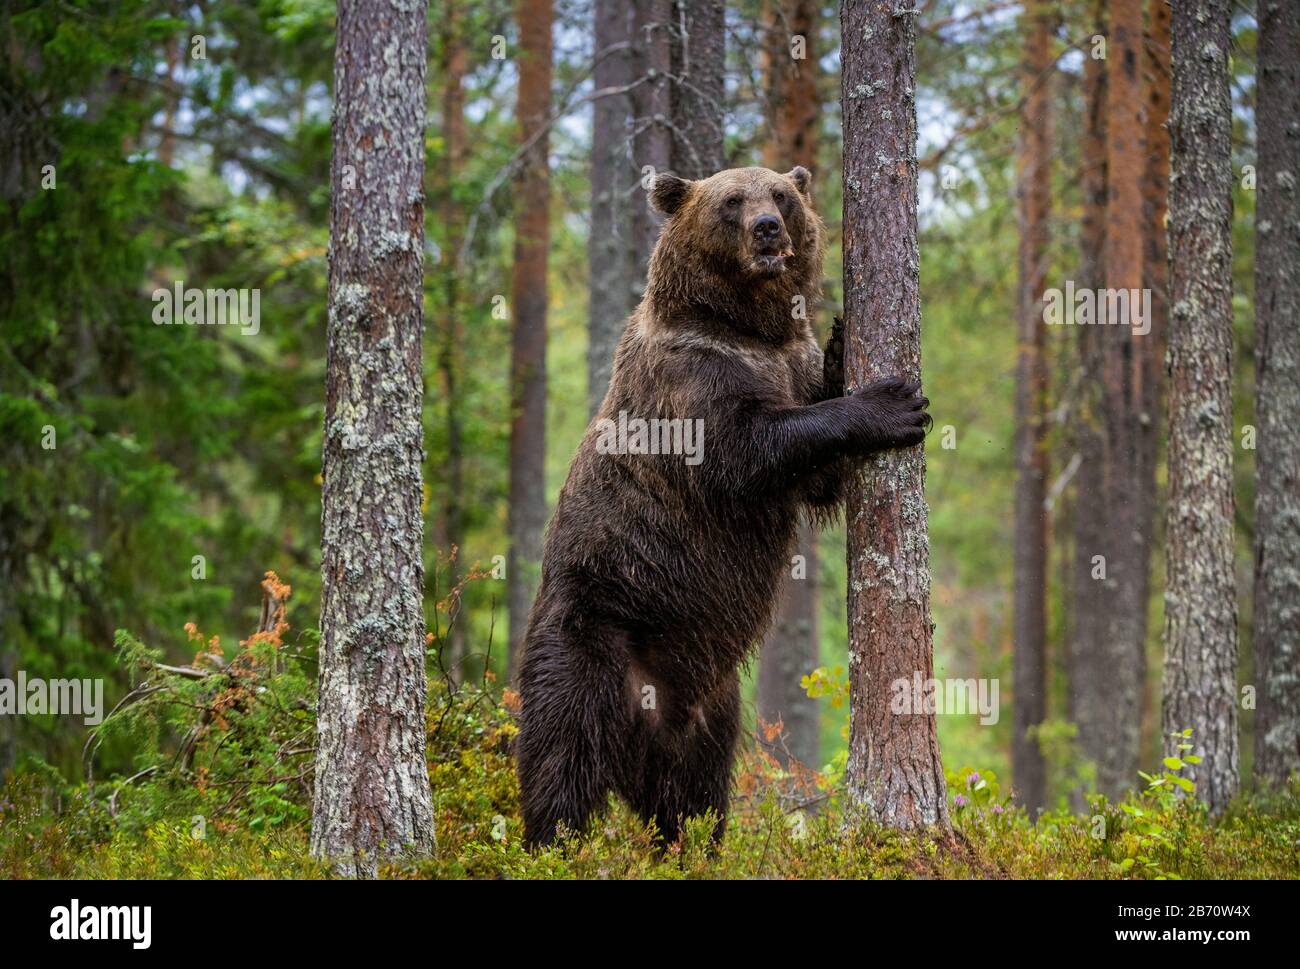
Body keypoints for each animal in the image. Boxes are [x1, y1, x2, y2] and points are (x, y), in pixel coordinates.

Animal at [512, 166, 930, 848]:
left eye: (781, 195)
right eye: (732, 201)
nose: (768, 228)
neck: (748, 327)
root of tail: (649, 716)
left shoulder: (787, 360)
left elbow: (819, 474)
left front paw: (844, 343)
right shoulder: (690, 381)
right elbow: (748, 447)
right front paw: (891, 403)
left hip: (714, 704)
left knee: (695, 796)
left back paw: (692, 845)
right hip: (588, 635)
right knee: (562, 758)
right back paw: (552, 846)